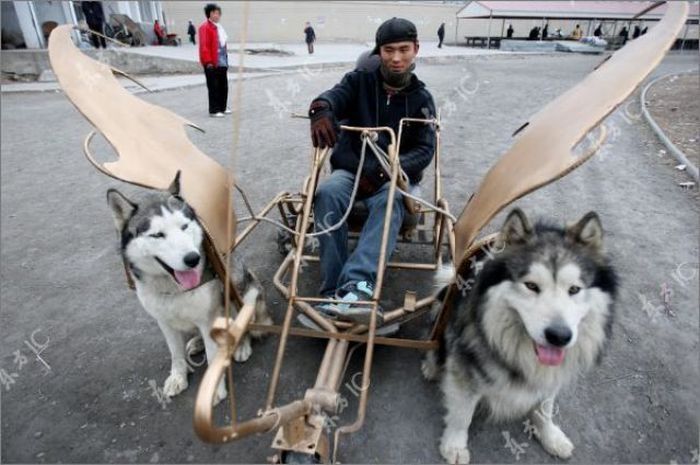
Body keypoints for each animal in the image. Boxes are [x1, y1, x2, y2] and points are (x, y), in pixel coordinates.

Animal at [106, 172, 270, 404]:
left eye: (184, 226)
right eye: (157, 235)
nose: (193, 258)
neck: (173, 289)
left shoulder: (209, 316)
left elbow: (213, 355)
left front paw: (214, 389)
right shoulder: (164, 321)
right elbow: (175, 353)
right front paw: (178, 377)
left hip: (242, 289)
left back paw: (240, 346)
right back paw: (197, 342)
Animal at [424, 208, 616, 462]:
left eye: (574, 289)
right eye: (531, 286)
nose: (559, 336)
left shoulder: (550, 375)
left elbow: (545, 407)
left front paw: (550, 436)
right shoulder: (465, 365)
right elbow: (462, 413)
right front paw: (454, 446)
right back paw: (431, 367)